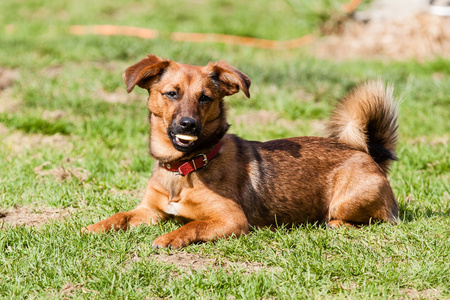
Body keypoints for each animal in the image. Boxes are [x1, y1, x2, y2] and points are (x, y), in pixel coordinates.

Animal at [83, 54, 398, 248]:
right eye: (171, 93)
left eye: (205, 98)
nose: (189, 124)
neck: (186, 166)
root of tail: (368, 156)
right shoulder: (150, 211)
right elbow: (120, 216)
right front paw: (95, 227)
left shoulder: (231, 219)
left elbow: (193, 226)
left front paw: (171, 237)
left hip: (345, 202)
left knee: (382, 220)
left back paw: (336, 224)